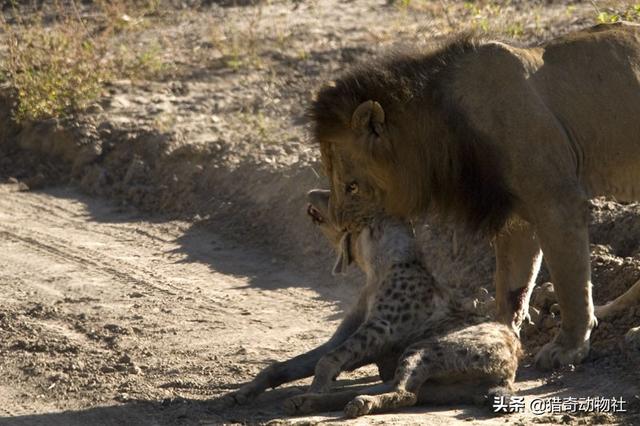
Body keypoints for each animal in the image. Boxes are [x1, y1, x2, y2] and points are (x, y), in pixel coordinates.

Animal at [308, 22, 640, 370]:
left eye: (351, 187)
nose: (341, 225)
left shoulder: (557, 201)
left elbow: (569, 282)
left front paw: (568, 348)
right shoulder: (517, 216)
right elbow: (511, 285)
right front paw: (495, 336)